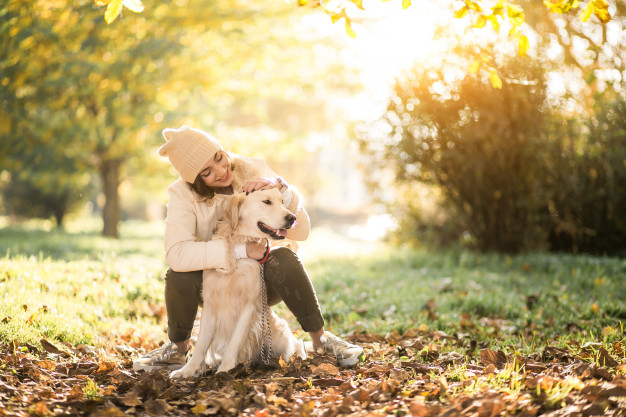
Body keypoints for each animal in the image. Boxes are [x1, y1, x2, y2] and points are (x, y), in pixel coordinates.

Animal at [168, 188, 304, 376]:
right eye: (266, 201)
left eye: (283, 202)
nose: (292, 218)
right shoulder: (210, 304)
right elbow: (201, 344)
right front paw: (188, 370)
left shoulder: (248, 305)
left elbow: (235, 340)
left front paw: (225, 369)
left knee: (296, 347)